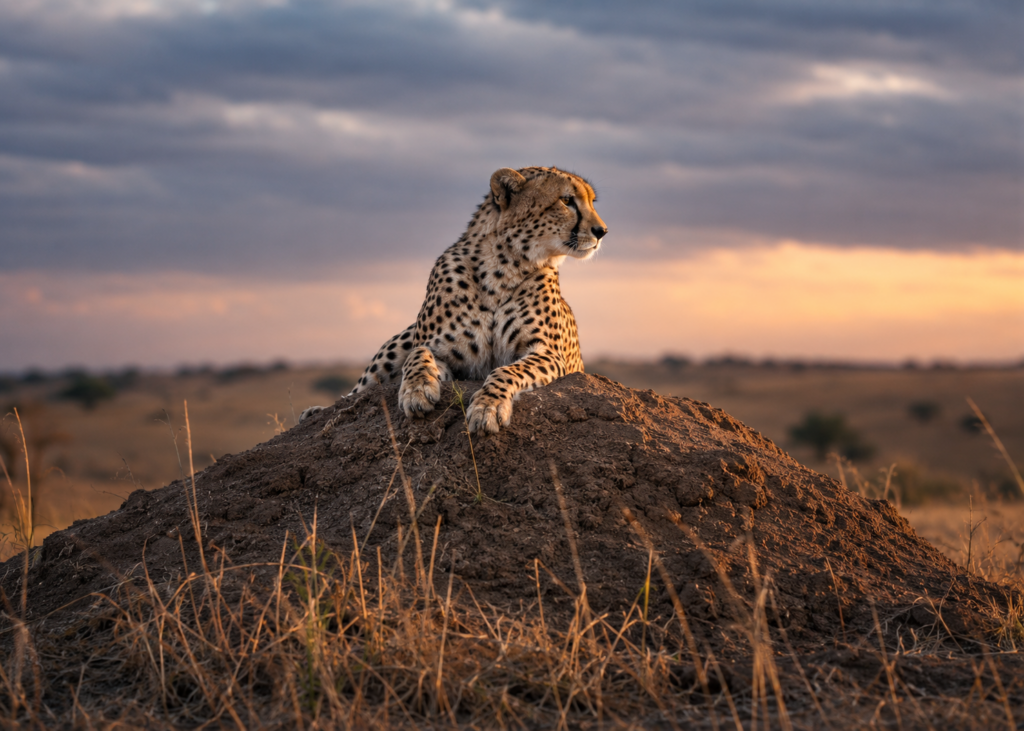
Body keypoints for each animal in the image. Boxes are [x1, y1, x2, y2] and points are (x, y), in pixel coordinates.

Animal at [301, 165, 608, 434]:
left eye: (591, 201)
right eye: (567, 200)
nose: (602, 231)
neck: (503, 266)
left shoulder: (548, 353)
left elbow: (506, 371)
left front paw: (487, 407)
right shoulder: (437, 347)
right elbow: (417, 355)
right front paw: (416, 390)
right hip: (400, 338)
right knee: (357, 390)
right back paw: (317, 411)